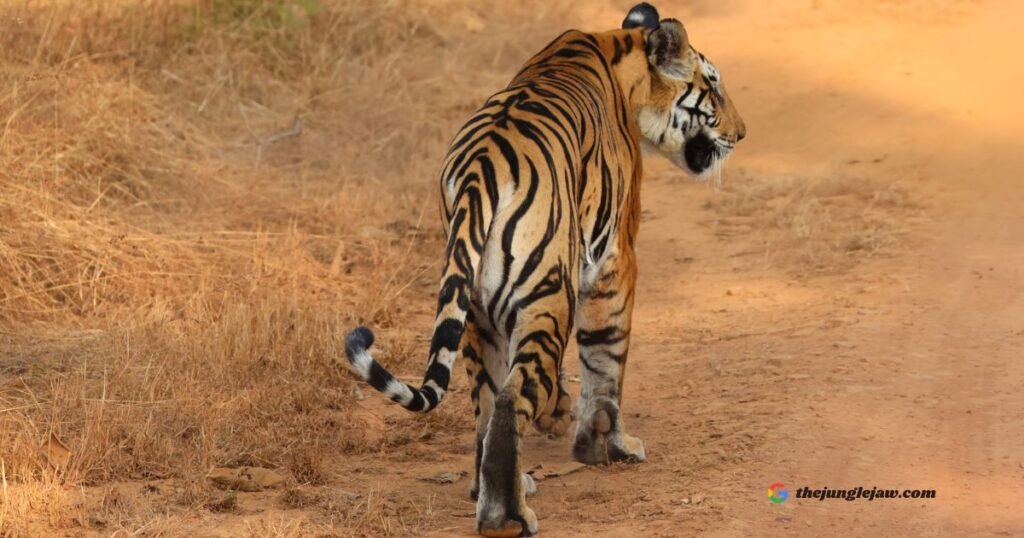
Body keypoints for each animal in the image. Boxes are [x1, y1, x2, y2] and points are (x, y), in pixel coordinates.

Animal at [342, 3, 745, 536]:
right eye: (713, 88)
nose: (741, 134)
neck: (619, 52)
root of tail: (479, 173)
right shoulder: (615, 259)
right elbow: (606, 361)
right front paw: (608, 445)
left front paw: (563, 419)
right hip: (549, 296)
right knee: (513, 395)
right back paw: (506, 516)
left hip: (478, 311)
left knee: (487, 402)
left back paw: (493, 490)